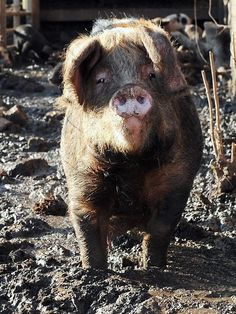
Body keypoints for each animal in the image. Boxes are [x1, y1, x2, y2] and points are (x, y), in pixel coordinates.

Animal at [59, 18, 203, 268]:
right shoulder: (81, 175)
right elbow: (87, 224)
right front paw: (93, 270)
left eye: (152, 75)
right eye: (101, 79)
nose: (130, 89)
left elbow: (161, 227)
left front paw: (153, 266)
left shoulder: (177, 178)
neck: (131, 163)